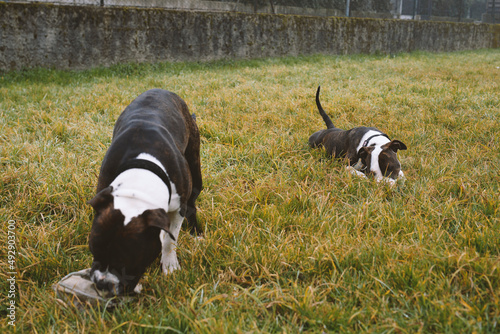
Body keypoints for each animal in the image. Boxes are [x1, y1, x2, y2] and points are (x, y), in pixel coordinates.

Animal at [87, 88, 201, 294]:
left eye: (126, 263)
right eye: (94, 251)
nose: (102, 283)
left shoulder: (178, 209)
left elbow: (170, 241)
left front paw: (170, 265)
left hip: (195, 164)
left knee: (192, 204)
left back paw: (196, 232)